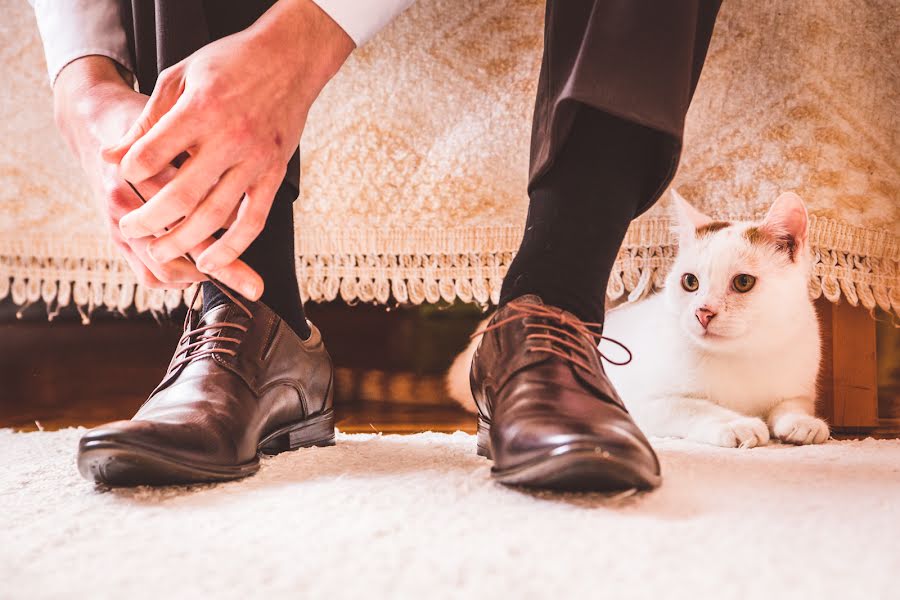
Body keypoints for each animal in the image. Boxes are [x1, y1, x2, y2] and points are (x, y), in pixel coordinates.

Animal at [450, 190, 828, 448]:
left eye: (743, 282)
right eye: (690, 282)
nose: (702, 312)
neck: (743, 355)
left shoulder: (798, 382)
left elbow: (792, 403)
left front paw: (803, 423)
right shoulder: (646, 404)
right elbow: (695, 408)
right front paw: (736, 424)